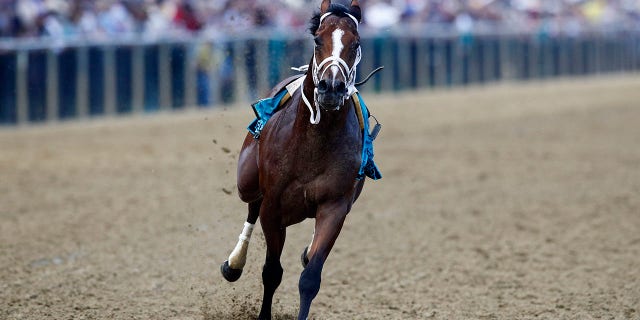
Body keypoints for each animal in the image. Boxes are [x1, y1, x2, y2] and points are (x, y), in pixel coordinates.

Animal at [220, 1, 380, 318]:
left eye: (355, 43)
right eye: (318, 40)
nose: (332, 87)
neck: (315, 141)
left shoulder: (335, 206)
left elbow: (310, 278)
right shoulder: (273, 206)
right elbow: (271, 271)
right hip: (248, 181)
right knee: (251, 207)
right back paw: (233, 263)